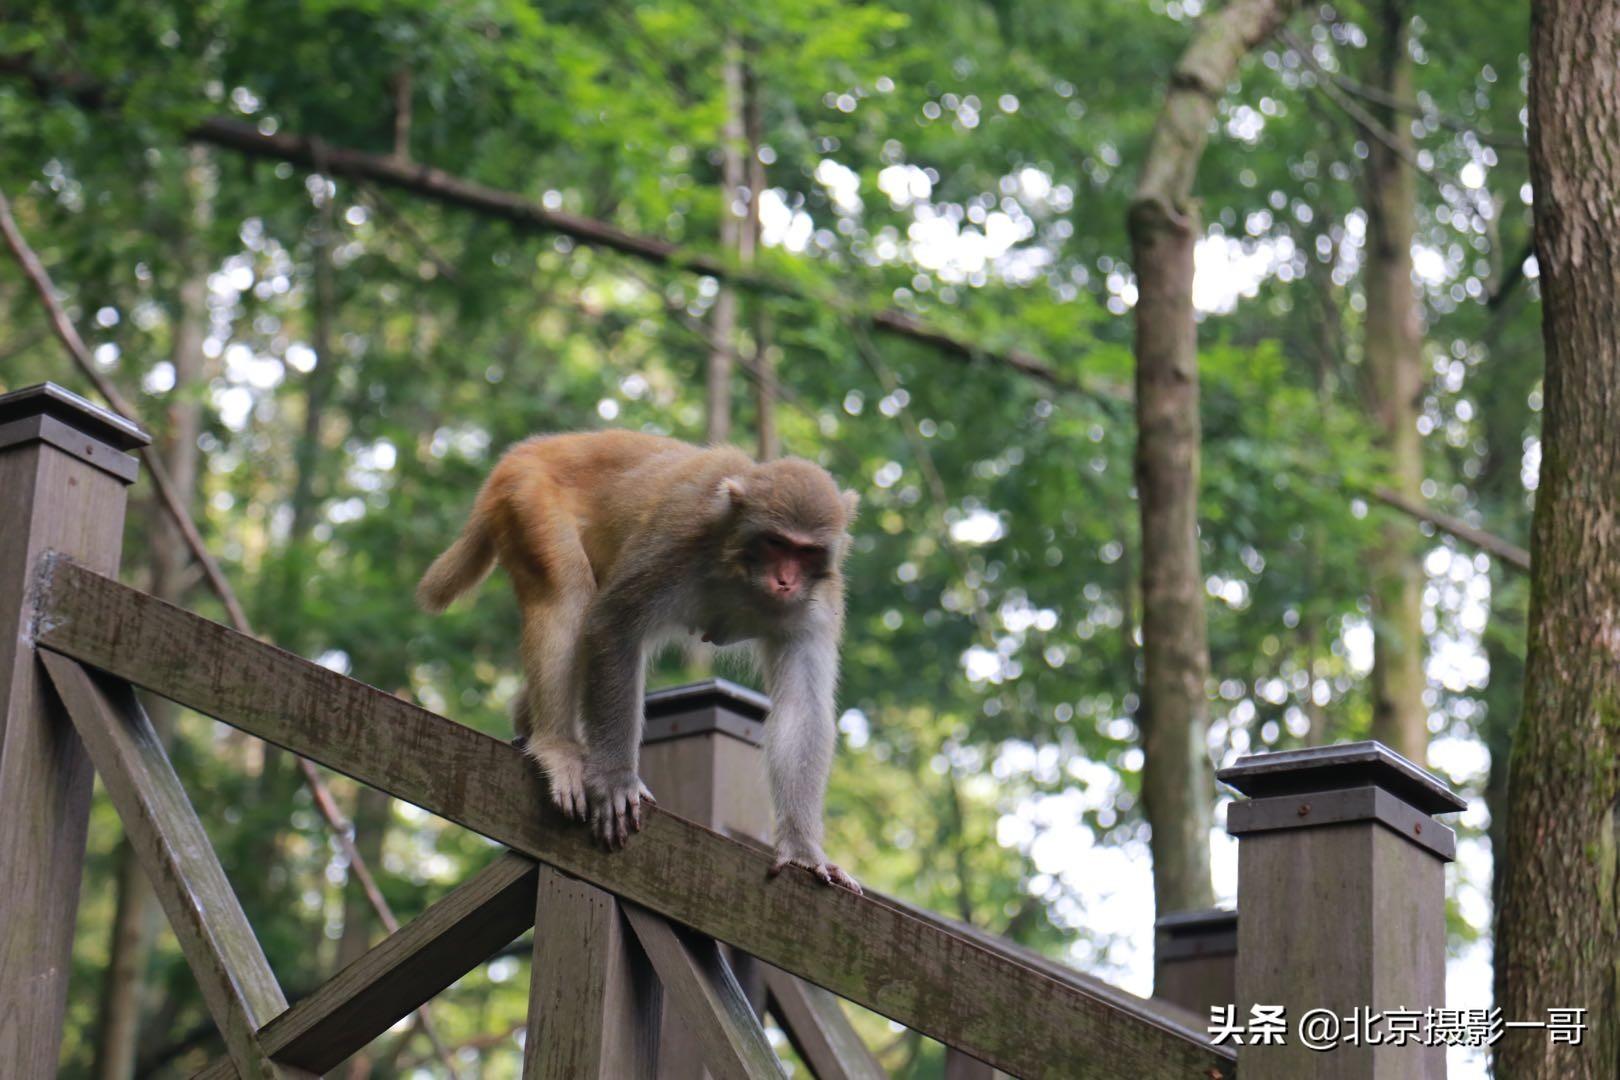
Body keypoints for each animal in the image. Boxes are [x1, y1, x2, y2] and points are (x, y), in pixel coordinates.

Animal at [424, 430, 868, 893]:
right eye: (776, 543)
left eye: (807, 552)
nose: (785, 581)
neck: (738, 567)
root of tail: (525, 451)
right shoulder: (681, 537)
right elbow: (612, 624)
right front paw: (616, 779)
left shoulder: (817, 605)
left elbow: (802, 708)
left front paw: (802, 850)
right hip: (527, 497)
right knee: (568, 595)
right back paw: (555, 746)